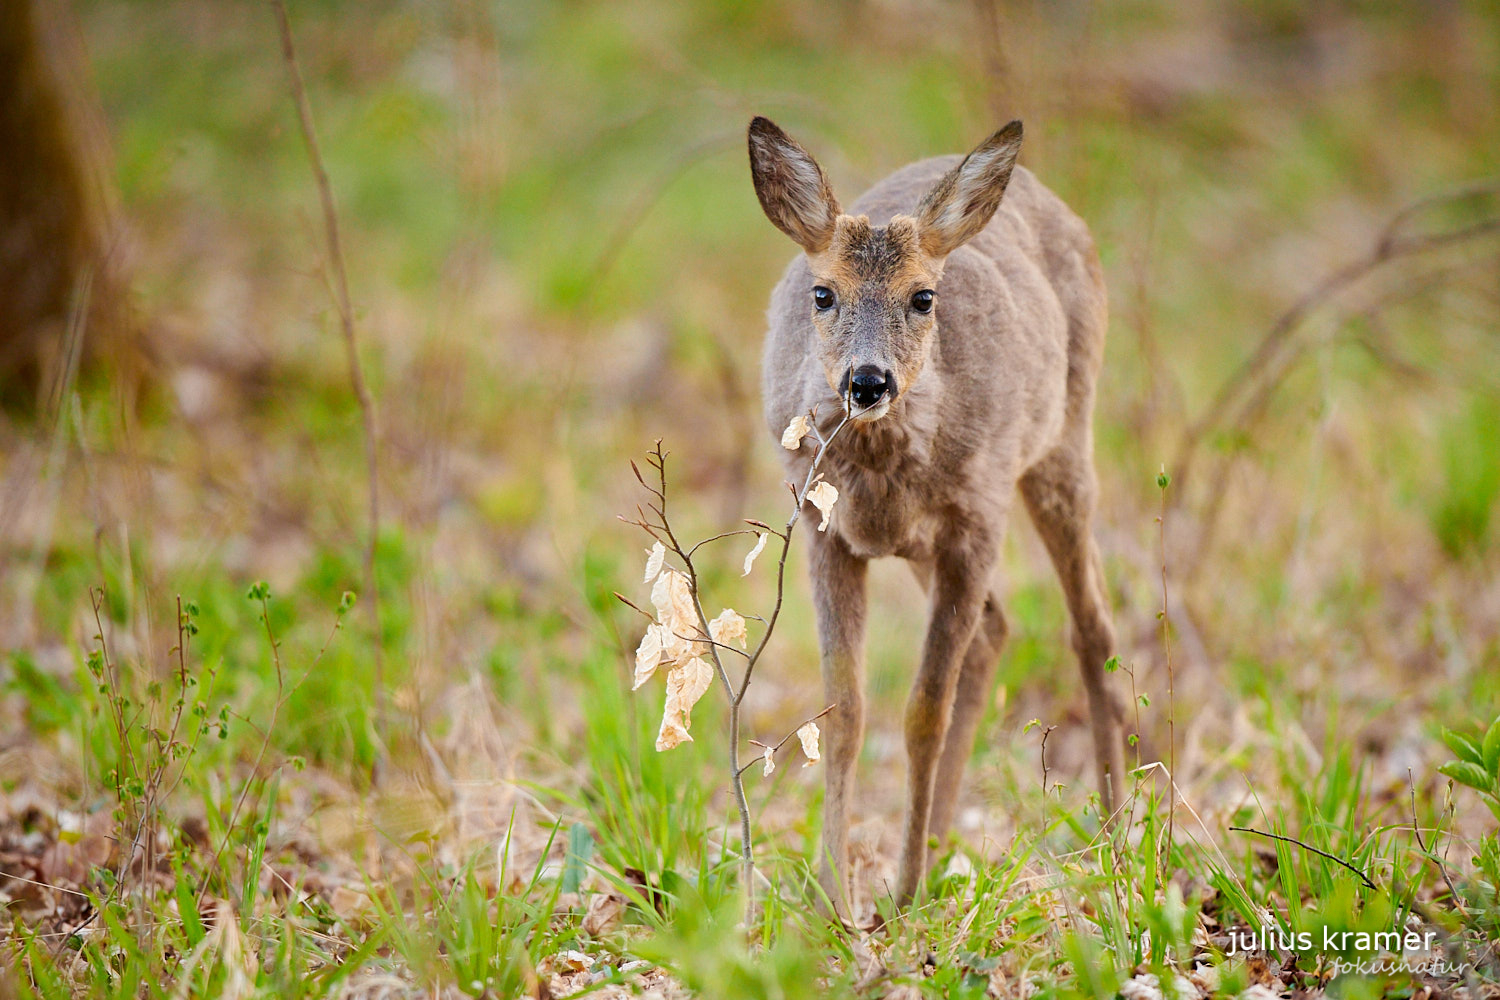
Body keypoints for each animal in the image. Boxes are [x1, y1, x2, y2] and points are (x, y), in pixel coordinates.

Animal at [750, 117, 1128, 917]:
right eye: (824, 293)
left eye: (923, 298)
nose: (867, 381)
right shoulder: (824, 530)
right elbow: (844, 710)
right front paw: (837, 895)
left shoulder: (975, 523)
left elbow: (923, 712)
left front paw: (901, 892)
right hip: (930, 544)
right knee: (996, 631)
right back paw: (942, 839)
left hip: (1061, 445)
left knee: (1092, 629)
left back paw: (1118, 837)